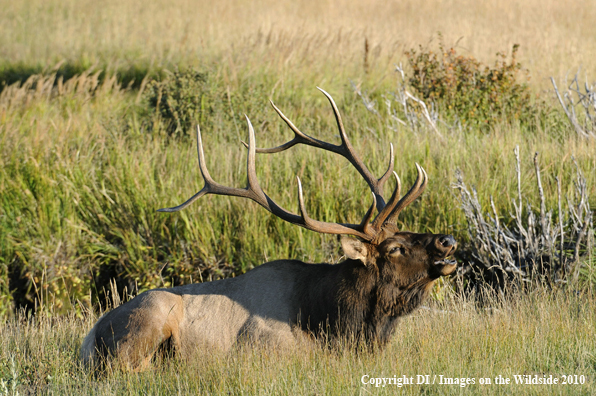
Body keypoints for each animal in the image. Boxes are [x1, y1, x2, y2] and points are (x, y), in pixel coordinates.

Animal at [81, 88, 458, 370]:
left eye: (409, 231)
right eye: (394, 248)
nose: (448, 241)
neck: (339, 322)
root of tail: (89, 337)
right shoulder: (268, 350)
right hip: (150, 319)